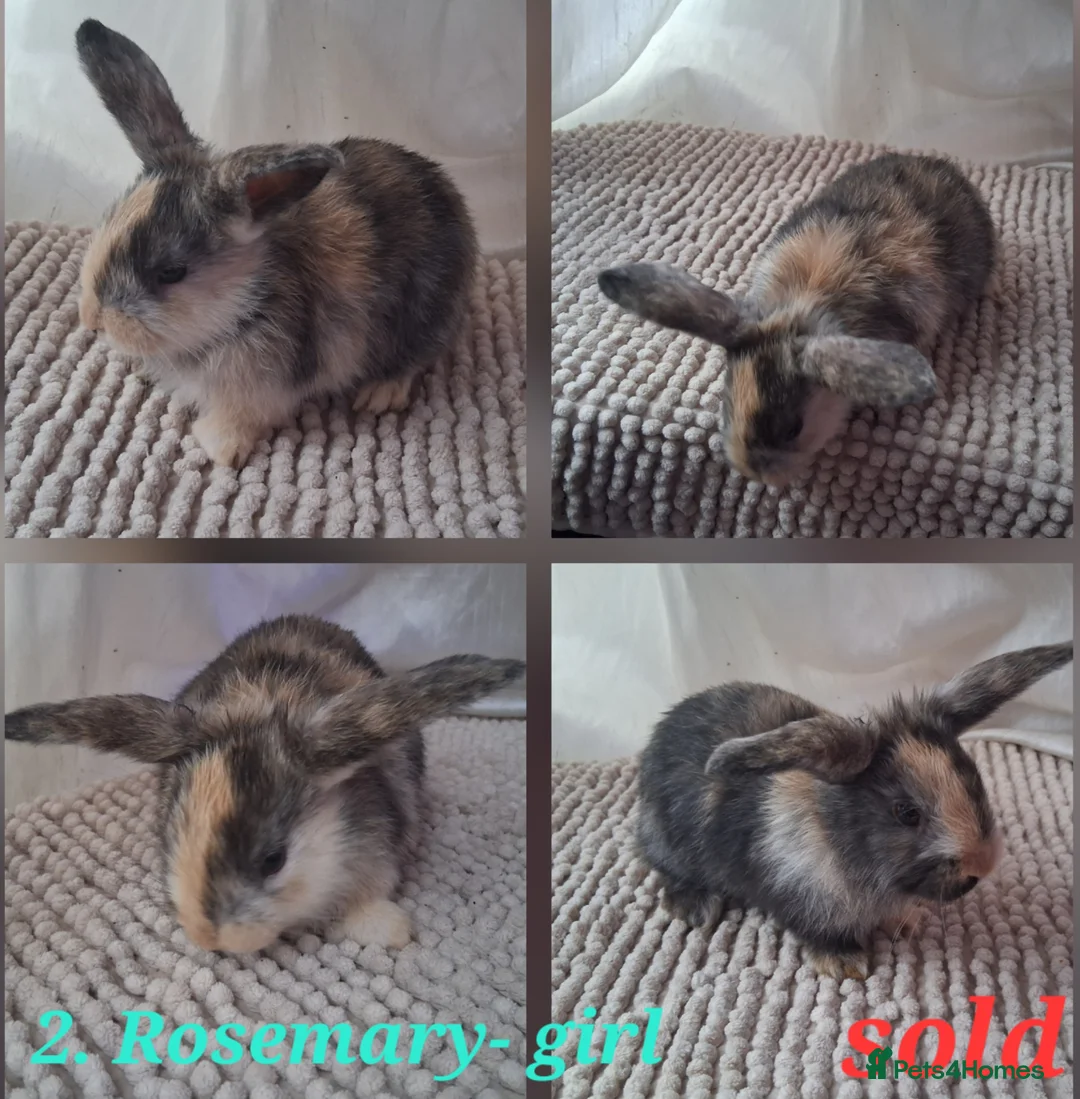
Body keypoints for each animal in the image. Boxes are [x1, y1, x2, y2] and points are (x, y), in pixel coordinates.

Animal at [73, 20, 478, 468]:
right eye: (105, 224)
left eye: (170, 272)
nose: (92, 321)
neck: (244, 301)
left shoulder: (262, 389)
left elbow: (241, 417)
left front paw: (217, 448)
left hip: (427, 314)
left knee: (417, 358)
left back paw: (379, 394)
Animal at [636, 642, 1072, 980]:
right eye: (906, 813)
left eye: (974, 778)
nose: (982, 866)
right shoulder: (802, 900)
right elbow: (820, 933)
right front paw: (845, 964)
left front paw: (905, 923)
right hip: (668, 844)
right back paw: (694, 907)